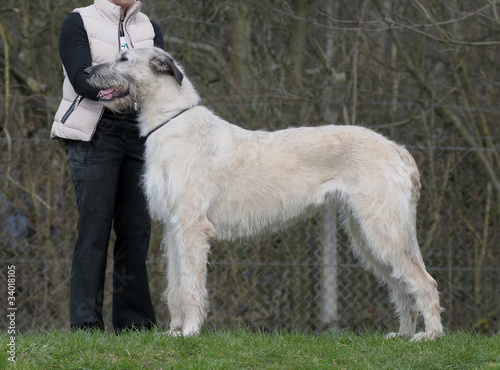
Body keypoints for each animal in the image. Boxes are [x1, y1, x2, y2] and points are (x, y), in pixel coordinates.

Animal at [85, 47, 442, 342]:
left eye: (123, 58)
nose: (86, 71)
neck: (172, 122)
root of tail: (397, 149)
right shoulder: (174, 228)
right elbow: (175, 284)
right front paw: (173, 330)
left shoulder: (191, 226)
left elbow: (191, 284)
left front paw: (190, 331)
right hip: (366, 231)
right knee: (400, 284)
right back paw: (403, 333)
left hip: (383, 226)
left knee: (423, 281)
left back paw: (430, 336)